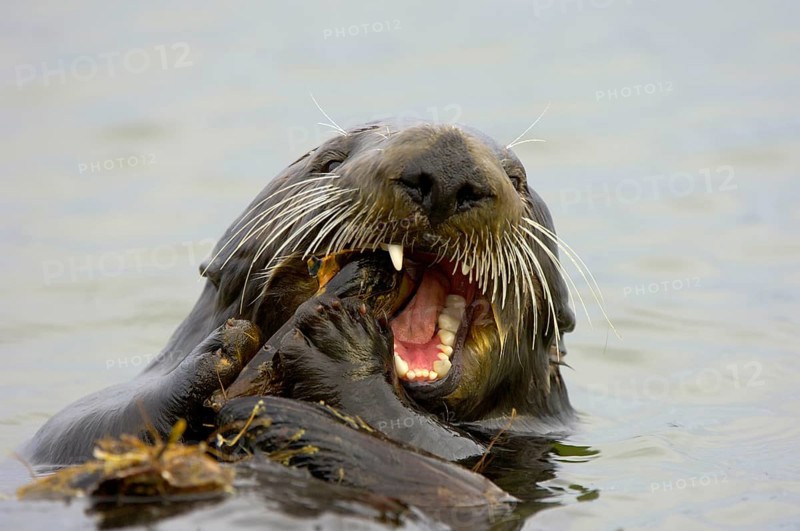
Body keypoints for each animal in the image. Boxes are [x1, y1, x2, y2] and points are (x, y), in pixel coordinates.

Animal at [22, 120, 577, 475]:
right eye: (329, 160)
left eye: (519, 180)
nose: (444, 169)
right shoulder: (60, 440)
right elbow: (83, 427)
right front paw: (218, 353)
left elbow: (439, 447)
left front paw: (343, 353)